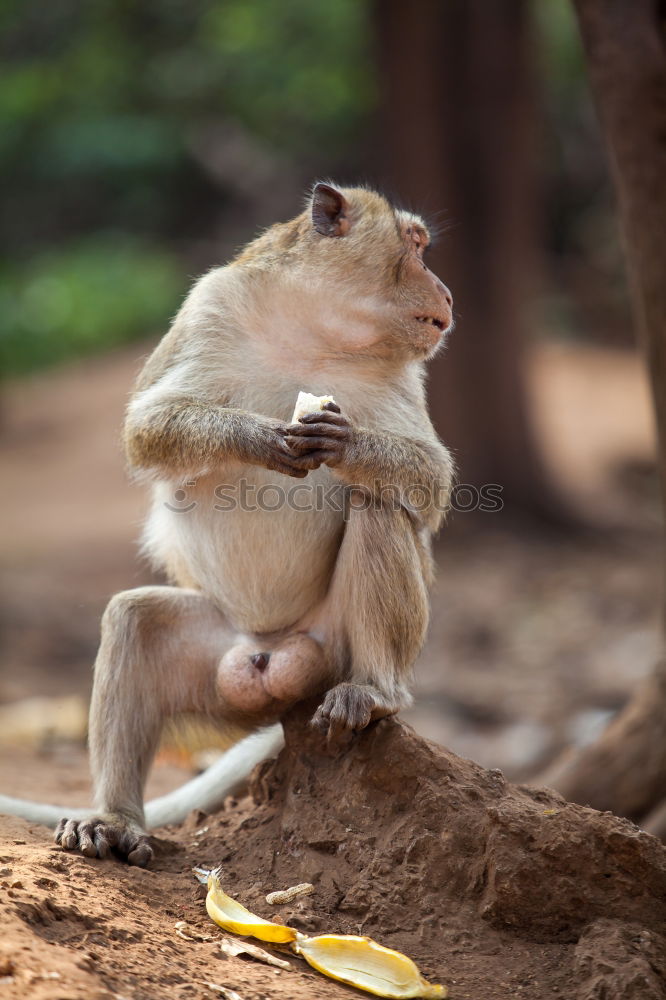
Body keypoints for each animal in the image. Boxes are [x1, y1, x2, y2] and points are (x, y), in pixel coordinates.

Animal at [0, 186, 452, 868]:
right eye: (416, 245)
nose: (446, 291)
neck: (314, 332)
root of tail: (275, 654)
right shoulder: (212, 305)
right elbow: (146, 427)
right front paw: (261, 439)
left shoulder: (401, 371)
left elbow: (430, 482)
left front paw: (345, 446)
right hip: (221, 651)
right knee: (135, 620)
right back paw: (115, 820)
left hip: (331, 647)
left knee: (377, 505)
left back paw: (375, 692)